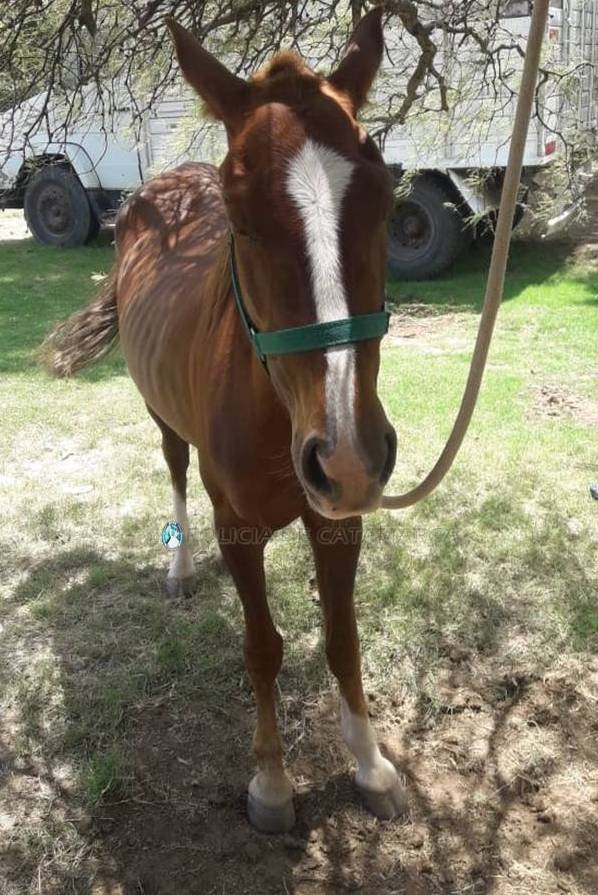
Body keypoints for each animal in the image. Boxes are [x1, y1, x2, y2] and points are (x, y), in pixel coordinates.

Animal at [41, 8, 405, 833]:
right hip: (161, 418)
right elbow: (262, 647)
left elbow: (343, 639)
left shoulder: (337, 523)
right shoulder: (238, 526)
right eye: (239, 217)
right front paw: (271, 781)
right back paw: (179, 566)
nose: (348, 459)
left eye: (384, 197)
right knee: (174, 473)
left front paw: (369, 763)